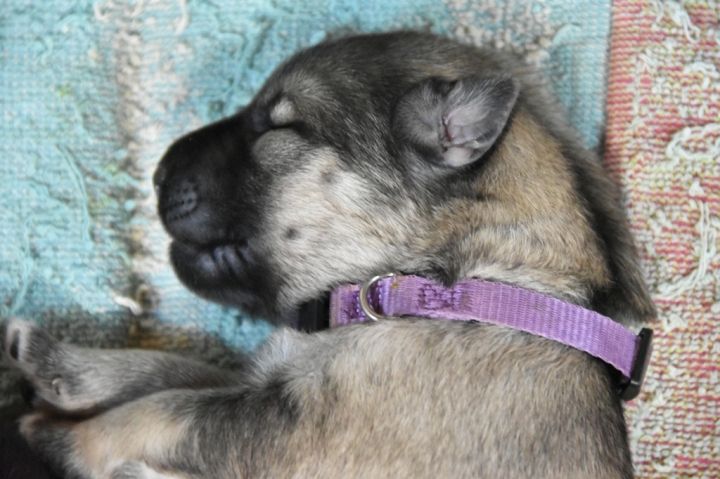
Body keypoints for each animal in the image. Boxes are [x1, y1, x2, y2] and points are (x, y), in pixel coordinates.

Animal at [3, 32, 655, 478]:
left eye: (277, 128)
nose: (158, 171)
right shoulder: (267, 387)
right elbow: (175, 373)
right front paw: (59, 363)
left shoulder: (293, 429)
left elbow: (160, 411)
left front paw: (56, 437)